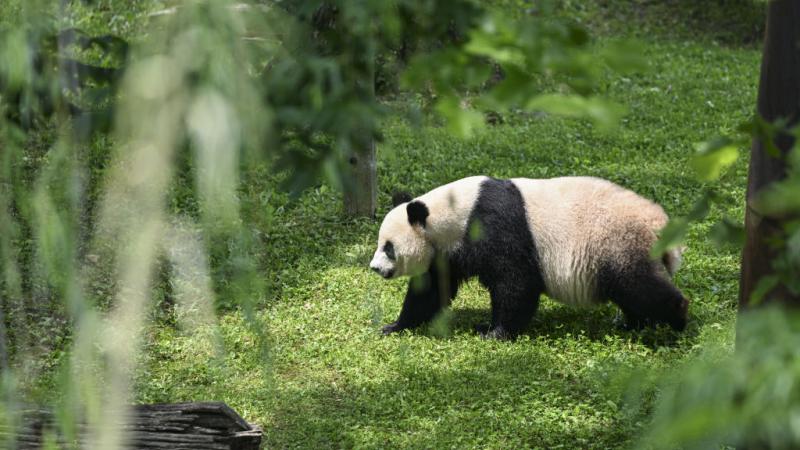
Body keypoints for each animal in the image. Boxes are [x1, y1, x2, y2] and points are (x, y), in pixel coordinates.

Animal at [369, 176, 688, 339]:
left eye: (388, 247)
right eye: (380, 244)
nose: (374, 268)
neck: (454, 211)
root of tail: (658, 224)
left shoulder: (494, 226)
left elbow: (516, 283)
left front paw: (492, 332)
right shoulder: (448, 252)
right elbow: (432, 290)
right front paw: (395, 326)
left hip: (617, 242)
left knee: (639, 286)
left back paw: (677, 320)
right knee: (631, 292)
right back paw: (633, 324)